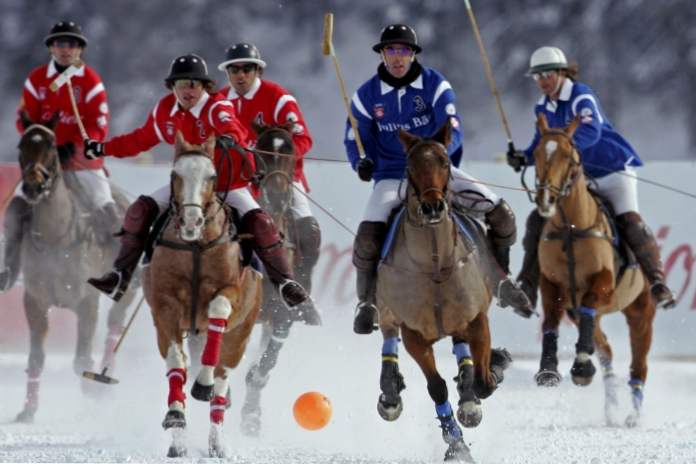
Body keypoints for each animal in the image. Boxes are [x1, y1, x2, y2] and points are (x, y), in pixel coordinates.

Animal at [11, 114, 137, 422]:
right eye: (21, 146)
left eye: (50, 146)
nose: (33, 186)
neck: (57, 235)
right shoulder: (34, 301)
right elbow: (36, 358)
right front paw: (28, 409)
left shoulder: (87, 301)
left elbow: (81, 360)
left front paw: (93, 391)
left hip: (125, 291)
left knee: (115, 325)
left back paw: (104, 378)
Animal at [143, 133, 262, 456]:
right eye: (175, 174)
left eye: (212, 176)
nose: (191, 221)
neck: (196, 245)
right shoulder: (165, 304)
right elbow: (176, 362)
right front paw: (175, 417)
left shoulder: (230, 291)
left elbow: (218, 310)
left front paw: (202, 384)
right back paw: (180, 443)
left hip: (241, 335)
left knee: (222, 381)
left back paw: (217, 442)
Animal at [235, 121, 320, 436]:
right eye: (259, 152)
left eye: (291, 152)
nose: (277, 196)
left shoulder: (283, 318)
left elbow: (263, 368)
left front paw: (250, 418)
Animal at [376, 124, 512, 464]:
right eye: (409, 166)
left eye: (445, 161)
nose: (433, 206)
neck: (435, 266)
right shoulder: (413, 333)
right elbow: (436, 387)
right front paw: (456, 445)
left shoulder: (475, 319)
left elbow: (483, 380)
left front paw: (491, 371)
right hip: (385, 309)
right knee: (387, 335)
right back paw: (390, 393)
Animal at [532, 113, 656, 428]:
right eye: (537, 153)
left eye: (569, 155)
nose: (546, 200)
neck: (571, 228)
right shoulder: (551, 284)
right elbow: (551, 320)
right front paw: (549, 370)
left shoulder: (603, 284)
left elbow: (589, 306)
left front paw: (580, 368)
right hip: (585, 314)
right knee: (606, 349)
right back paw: (610, 405)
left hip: (641, 311)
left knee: (639, 363)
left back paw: (633, 414)